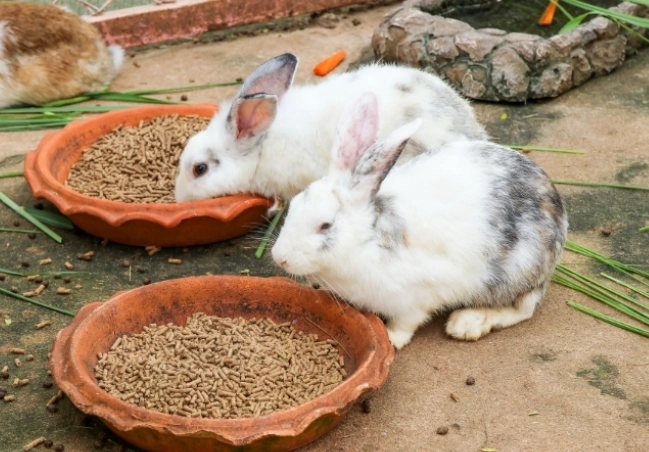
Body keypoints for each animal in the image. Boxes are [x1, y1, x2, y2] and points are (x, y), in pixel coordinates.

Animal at [271, 91, 568, 350]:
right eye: (294, 205)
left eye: (325, 225)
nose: (279, 257)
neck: (366, 241)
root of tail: (558, 210)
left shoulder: (414, 299)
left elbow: (406, 324)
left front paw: (390, 339)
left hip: (516, 271)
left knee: (523, 308)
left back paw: (466, 323)